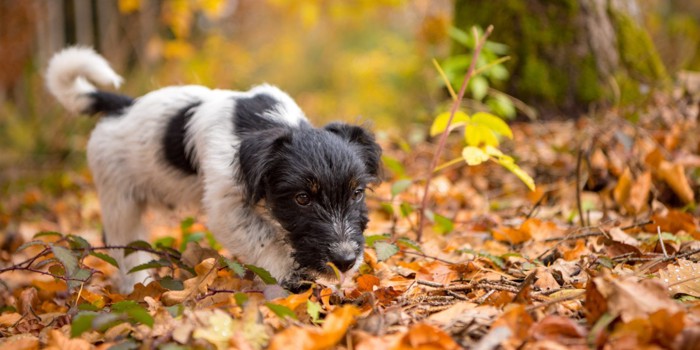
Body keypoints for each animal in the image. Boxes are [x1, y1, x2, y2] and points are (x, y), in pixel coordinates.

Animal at [45, 46, 380, 292]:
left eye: (357, 193)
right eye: (302, 198)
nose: (345, 260)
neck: (266, 122)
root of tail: (121, 106)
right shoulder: (226, 207)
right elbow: (265, 238)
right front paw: (289, 274)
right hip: (120, 202)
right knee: (128, 252)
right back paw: (138, 288)